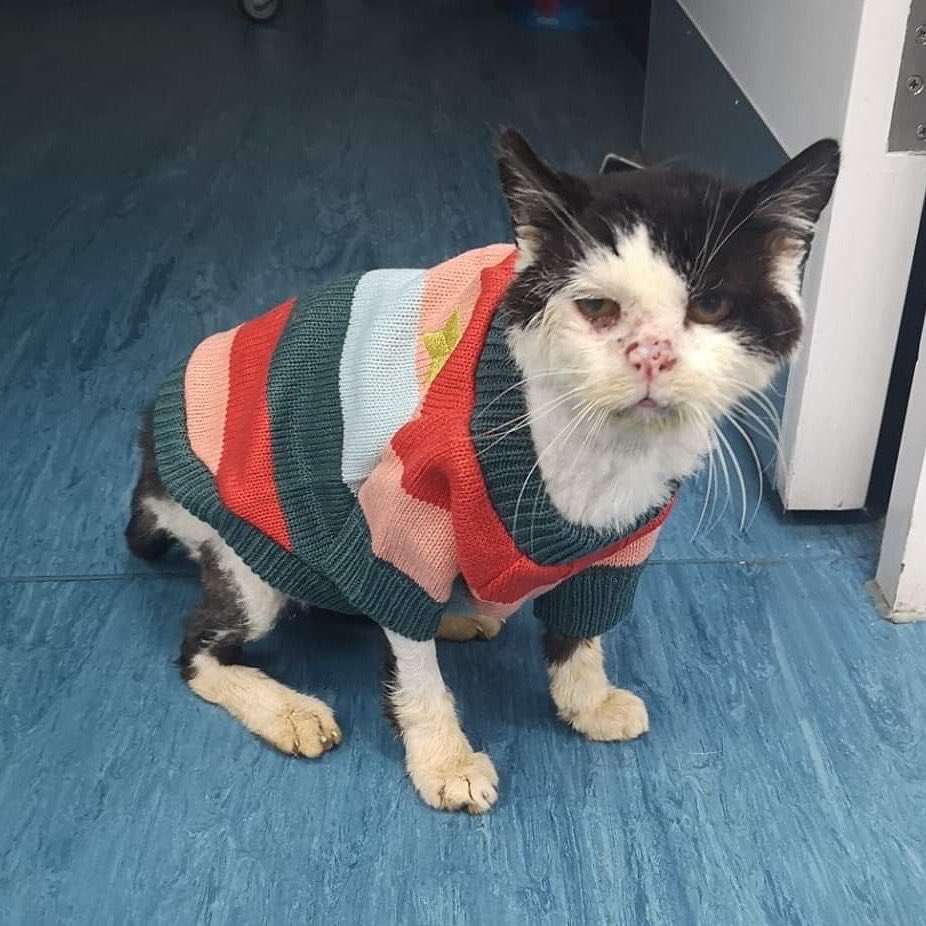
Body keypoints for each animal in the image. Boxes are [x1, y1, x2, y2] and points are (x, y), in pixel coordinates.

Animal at [125, 129, 839, 813]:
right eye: (598, 308)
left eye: (712, 307)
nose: (651, 354)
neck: (597, 451)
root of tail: (148, 455)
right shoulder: (402, 510)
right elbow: (412, 661)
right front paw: (444, 760)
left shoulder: (621, 541)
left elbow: (581, 623)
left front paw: (587, 699)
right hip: (246, 561)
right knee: (201, 651)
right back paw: (290, 708)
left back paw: (455, 615)